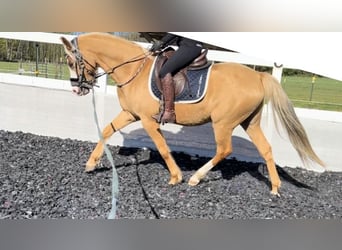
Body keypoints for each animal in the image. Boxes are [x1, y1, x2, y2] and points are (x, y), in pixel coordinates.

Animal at [60, 32, 324, 195]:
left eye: (71, 61)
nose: (76, 89)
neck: (134, 68)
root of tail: (258, 75)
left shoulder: (147, 120)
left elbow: (163, 148)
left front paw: (176, 177)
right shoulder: (130, 114)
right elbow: (106, 130)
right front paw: (91, 164)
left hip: (223, 123)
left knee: (224, 149)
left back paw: (196, 178)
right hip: (250, 122)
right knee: (266, 149)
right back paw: (275, 188)